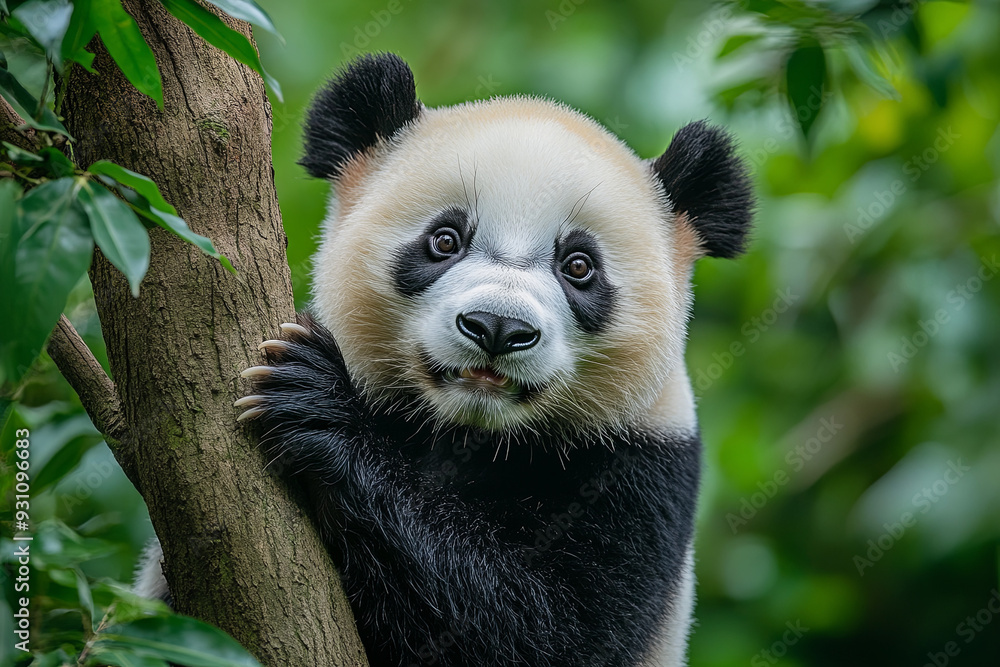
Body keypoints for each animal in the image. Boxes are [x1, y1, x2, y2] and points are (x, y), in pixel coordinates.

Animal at [138, 52, 754, 667]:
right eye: (445, 240)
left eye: (578, 266)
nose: (498, 328)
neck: (468, 431)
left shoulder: (640, 468)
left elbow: (551, 631)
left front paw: (316, 404)